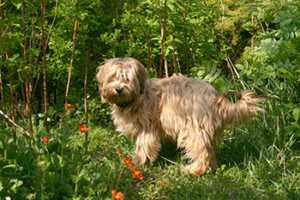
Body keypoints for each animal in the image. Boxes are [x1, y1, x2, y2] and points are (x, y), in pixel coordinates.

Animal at [96, 56, 262, 175]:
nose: (118, 89)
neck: (136, 97)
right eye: (112, 77)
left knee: (202, 152)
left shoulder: (147, 128)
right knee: (210, 152)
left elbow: (144, 146)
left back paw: (194, 170)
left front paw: (138, 163)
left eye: (127, 78)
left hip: (195, 128)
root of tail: (217, 97)